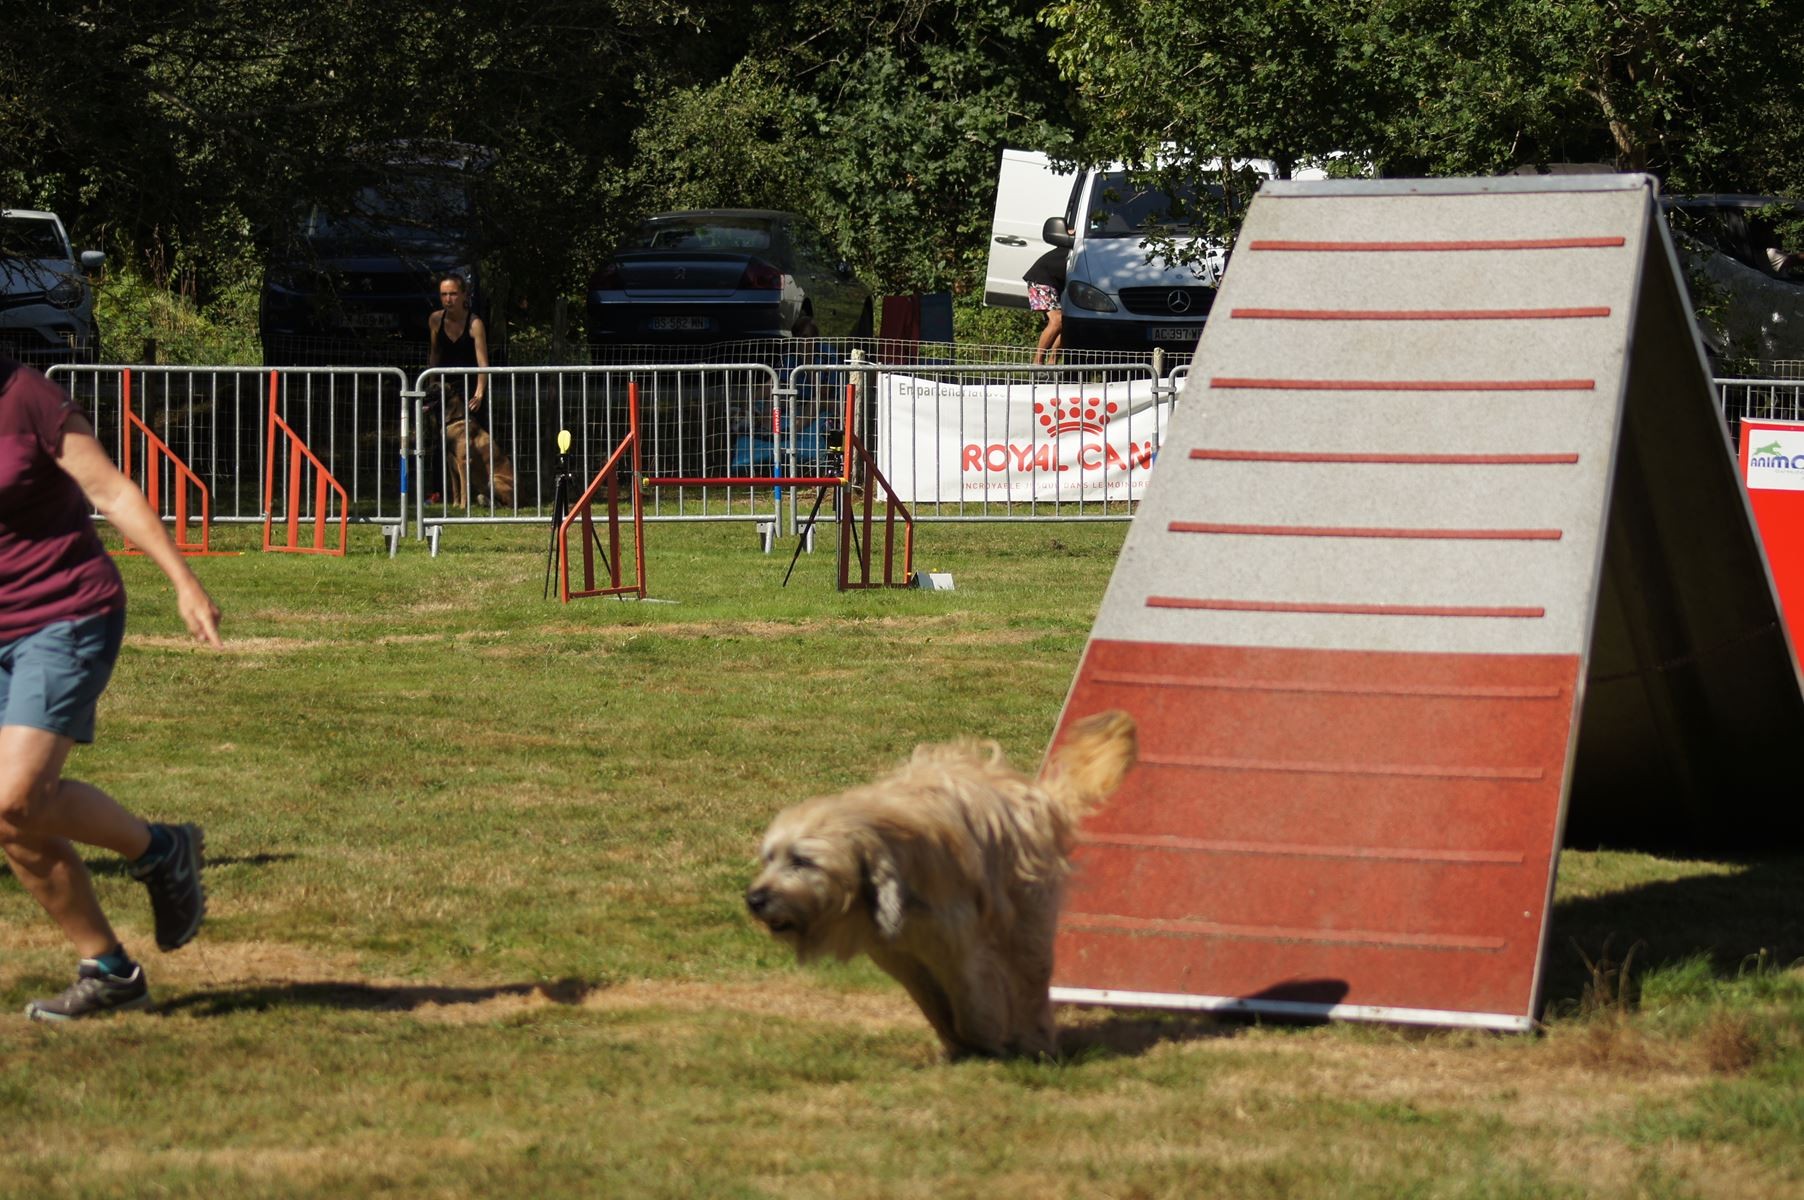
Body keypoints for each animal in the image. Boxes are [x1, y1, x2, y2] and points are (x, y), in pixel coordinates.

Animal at [743, 710, 1132, 1061]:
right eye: (768, 858)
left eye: (802, 861)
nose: (754, 899)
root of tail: (1035, 796)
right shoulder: (902, 957)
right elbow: (932, 1004)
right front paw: (957, 1043)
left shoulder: (959, 947)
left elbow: (972, 1004)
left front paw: (986, 1039)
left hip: (1025, 922)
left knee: (1030, 981)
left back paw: (1036, 1041)